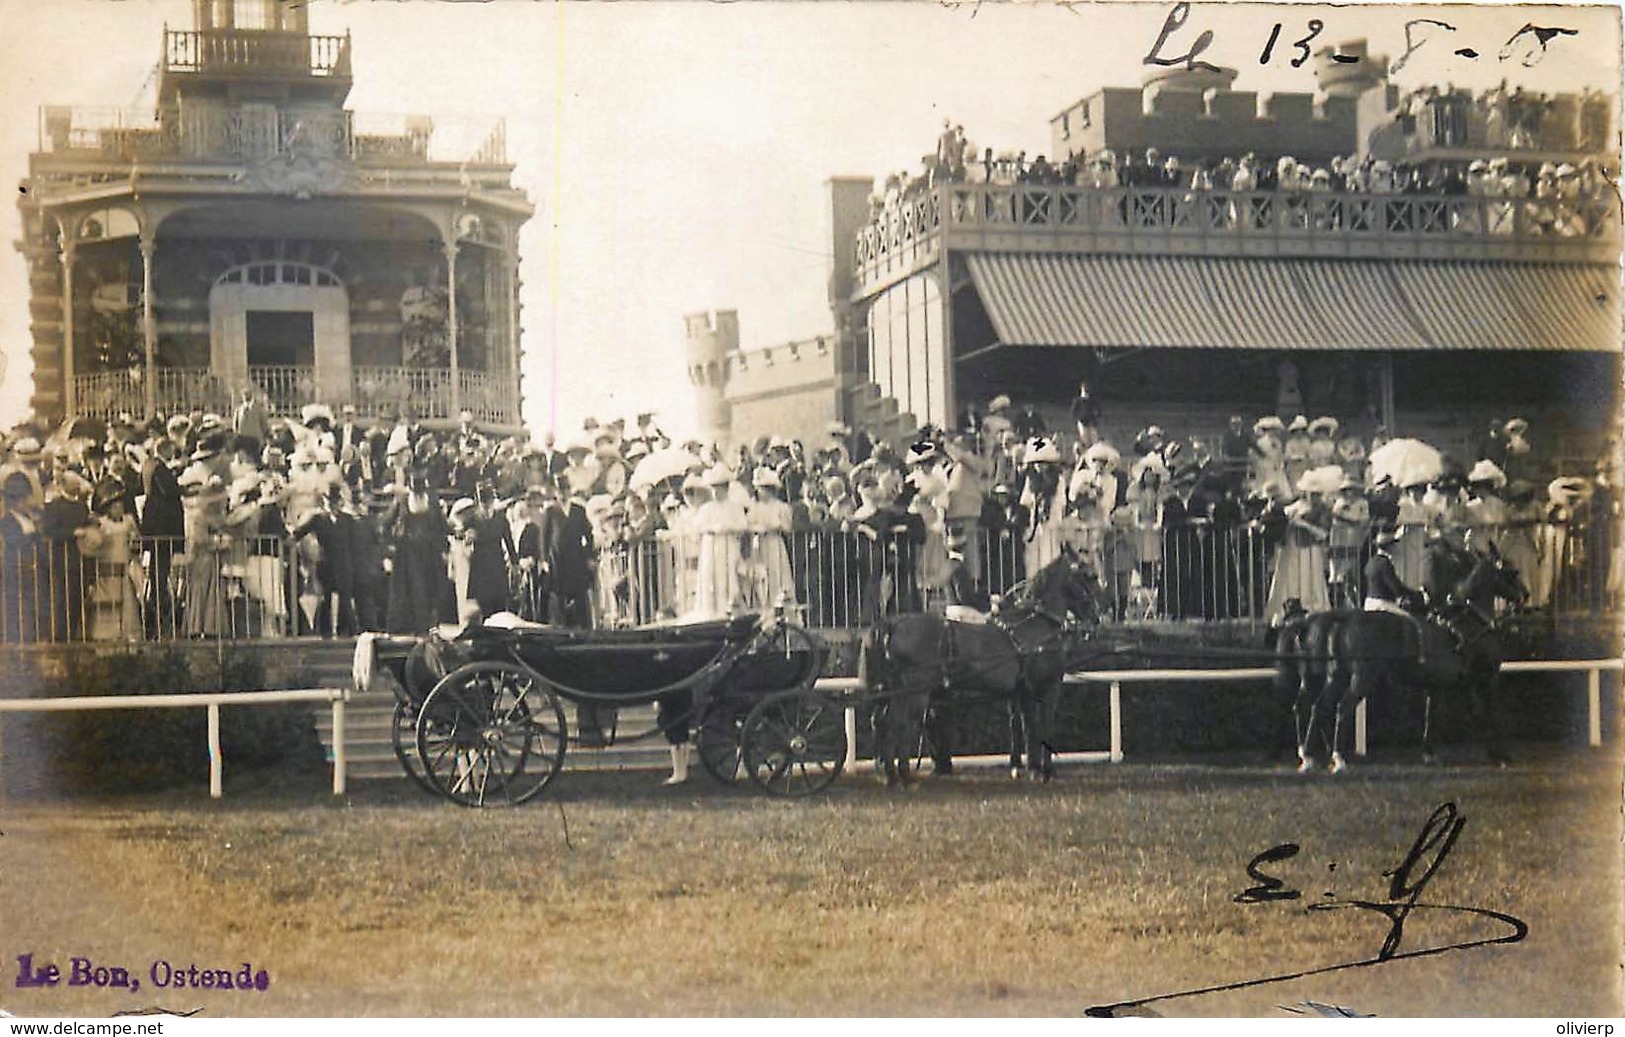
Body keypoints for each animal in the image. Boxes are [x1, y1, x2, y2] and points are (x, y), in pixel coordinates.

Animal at [858, 549, 1098, 783]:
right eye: (1088, 575)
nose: (1096, 616)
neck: (1035, 625)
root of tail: (894, 622)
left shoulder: (1020, 693)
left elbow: (1023, 727)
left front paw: (1028, 767)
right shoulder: (1045, 688)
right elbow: (1040, 728)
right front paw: (1041, 770)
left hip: (892, 690)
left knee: (881, 722)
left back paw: (889, 772)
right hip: (914, 692)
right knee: (899, 724)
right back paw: (902, 775)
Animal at [1300, 549, 1527, 776]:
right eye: (1511, 571)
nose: (1524, 595)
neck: (1472, 621)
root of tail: (1343, 621)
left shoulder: (1436, 685)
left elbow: (1431, 715)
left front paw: (1429, 753)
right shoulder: (1484, 680)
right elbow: (1487, 714)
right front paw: (1499, 755)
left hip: (1337, 677)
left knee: (1319, 707)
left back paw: (1308, 757)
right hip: (1362, 679)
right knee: (1343, 707)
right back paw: (1338, 759)